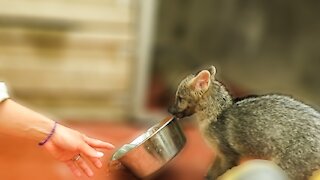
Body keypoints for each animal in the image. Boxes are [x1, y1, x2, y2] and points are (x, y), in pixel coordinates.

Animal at [169, 66, 318, 180]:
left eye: (180, 98)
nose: (169, 110)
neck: (217, 113)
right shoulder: (219, 154)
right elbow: (211, 171)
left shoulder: (229, 155)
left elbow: (220, 173)